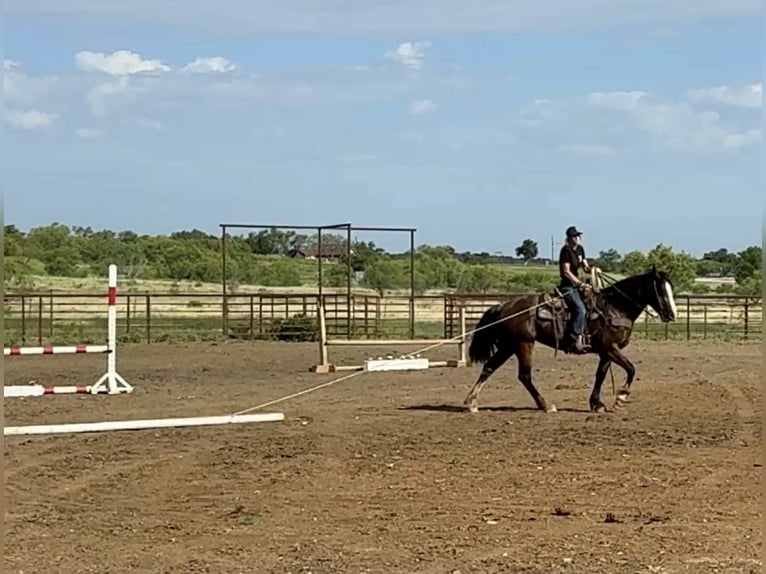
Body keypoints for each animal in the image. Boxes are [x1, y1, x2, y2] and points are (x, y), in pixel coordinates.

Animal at [463, 265, 678, 414]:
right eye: (660, 290)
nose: (672, 314)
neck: (614, 307)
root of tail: (504, 306)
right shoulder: (611, 348)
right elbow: (631, 369)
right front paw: (621, 397)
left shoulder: (606, 352)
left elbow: (600, 375)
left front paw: (597, 404)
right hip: (524, 344)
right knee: (524, 375)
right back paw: (545, 405)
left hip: (509, 345)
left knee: (489, 367)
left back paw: (472, 402)